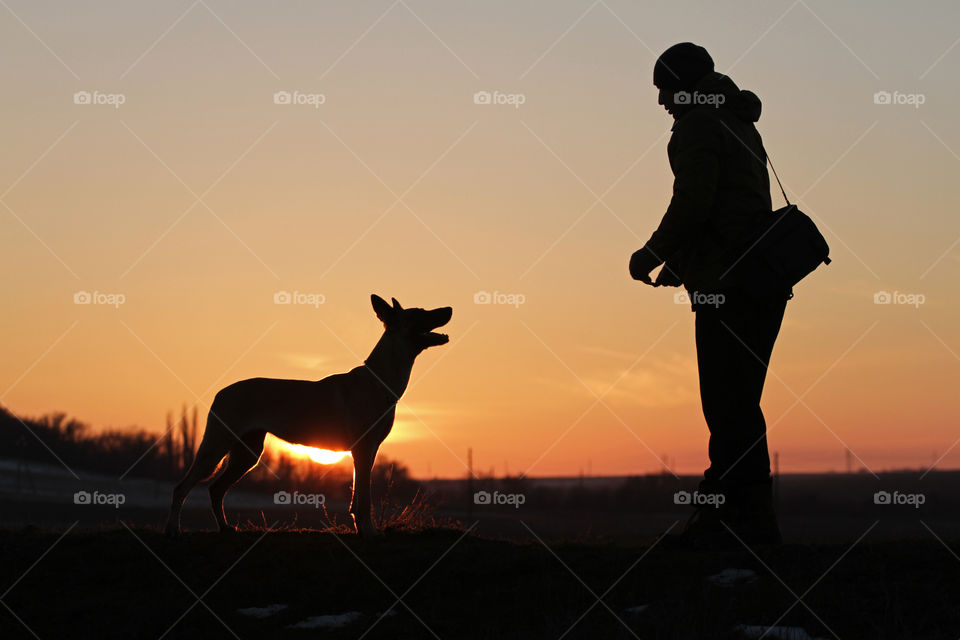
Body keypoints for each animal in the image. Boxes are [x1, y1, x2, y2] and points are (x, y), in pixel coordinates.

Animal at [163, 296, 452, 536]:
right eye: (420, 313)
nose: (449, 308)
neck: (379, 380)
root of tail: (221, 392)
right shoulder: (364, 449)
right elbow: (364, 499)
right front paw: (369, 532)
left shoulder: (364, 452)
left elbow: (357, 498)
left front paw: (361, 529)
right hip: (216, 447)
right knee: (182, 488)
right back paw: (173, 530)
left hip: (247, 454)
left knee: (215, 489)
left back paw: (224, 528)